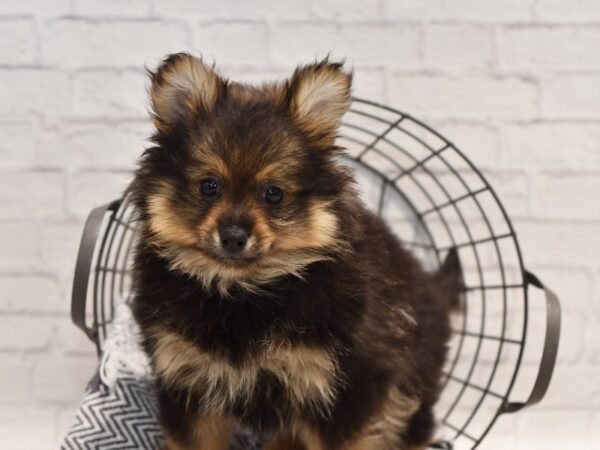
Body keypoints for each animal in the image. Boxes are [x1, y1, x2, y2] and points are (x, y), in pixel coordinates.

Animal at [130, 53, 460, 450]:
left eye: (273, 193)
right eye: (209, 186)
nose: (233, 236)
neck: (242, 293)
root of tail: (433, 289)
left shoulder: (347, 387)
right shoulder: (185, 380)